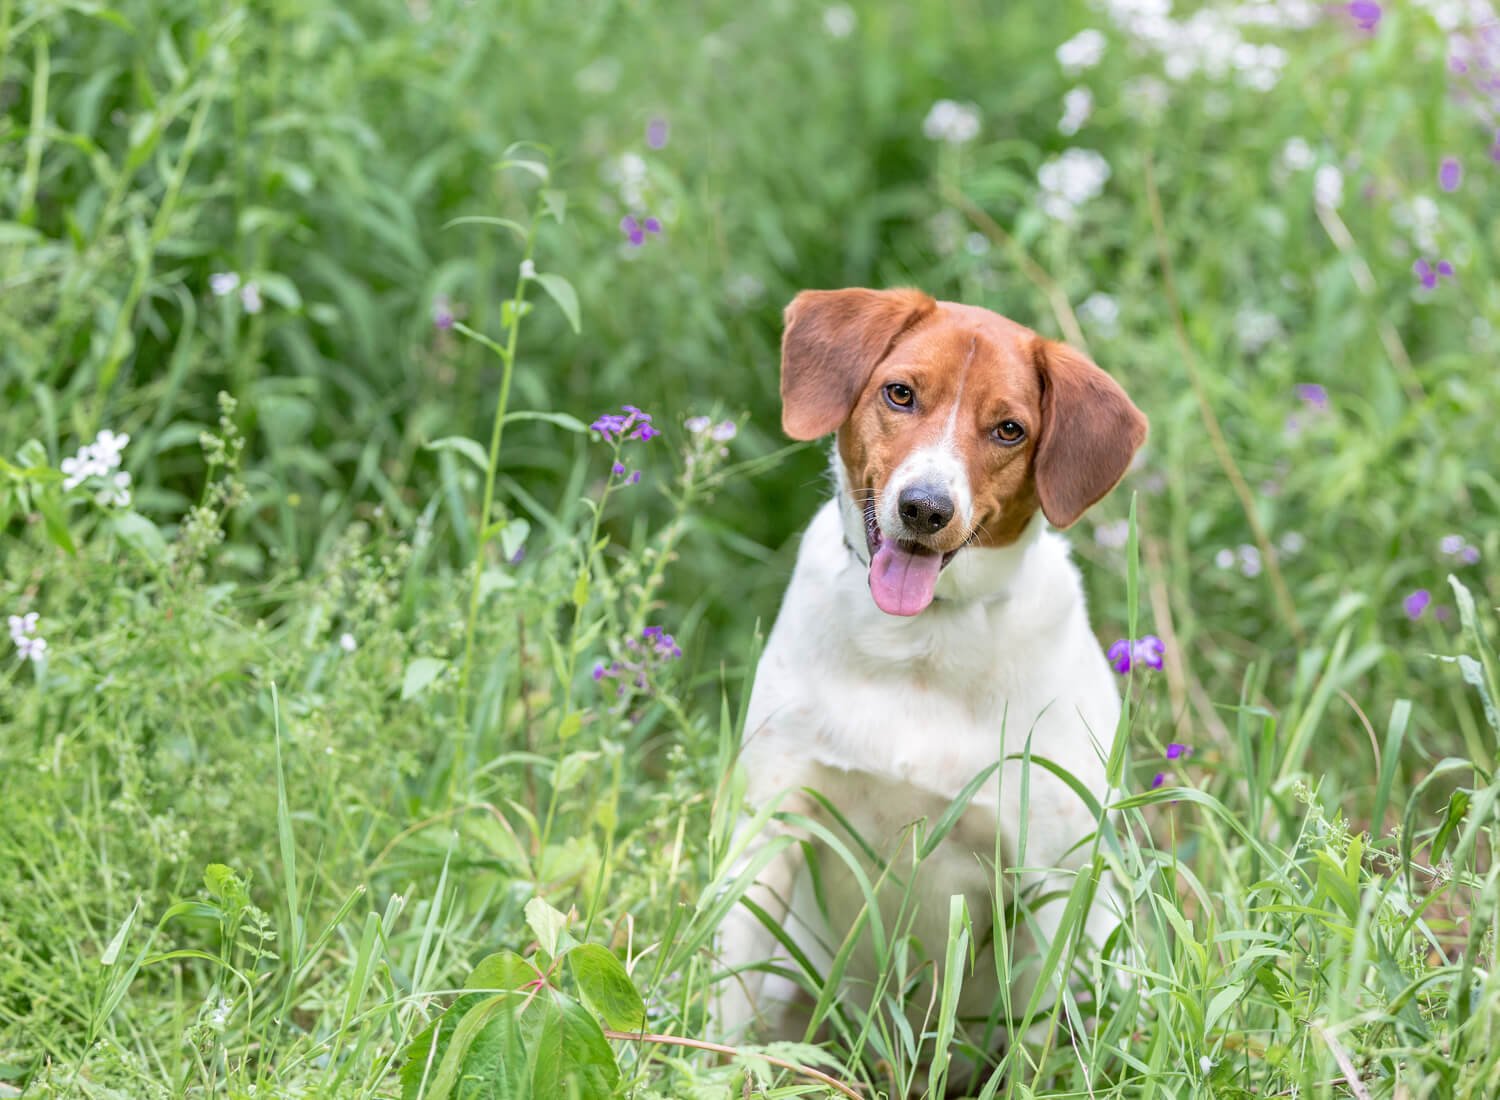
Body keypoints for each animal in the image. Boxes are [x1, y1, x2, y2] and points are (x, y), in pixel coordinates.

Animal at [717, 285, 1146, 1074]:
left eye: (1009, 429)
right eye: (900, 393)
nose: (924, 508)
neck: (917, 644)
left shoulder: (1050, 884)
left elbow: (1032, 1057)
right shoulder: (768, 830)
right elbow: (722, 1009)